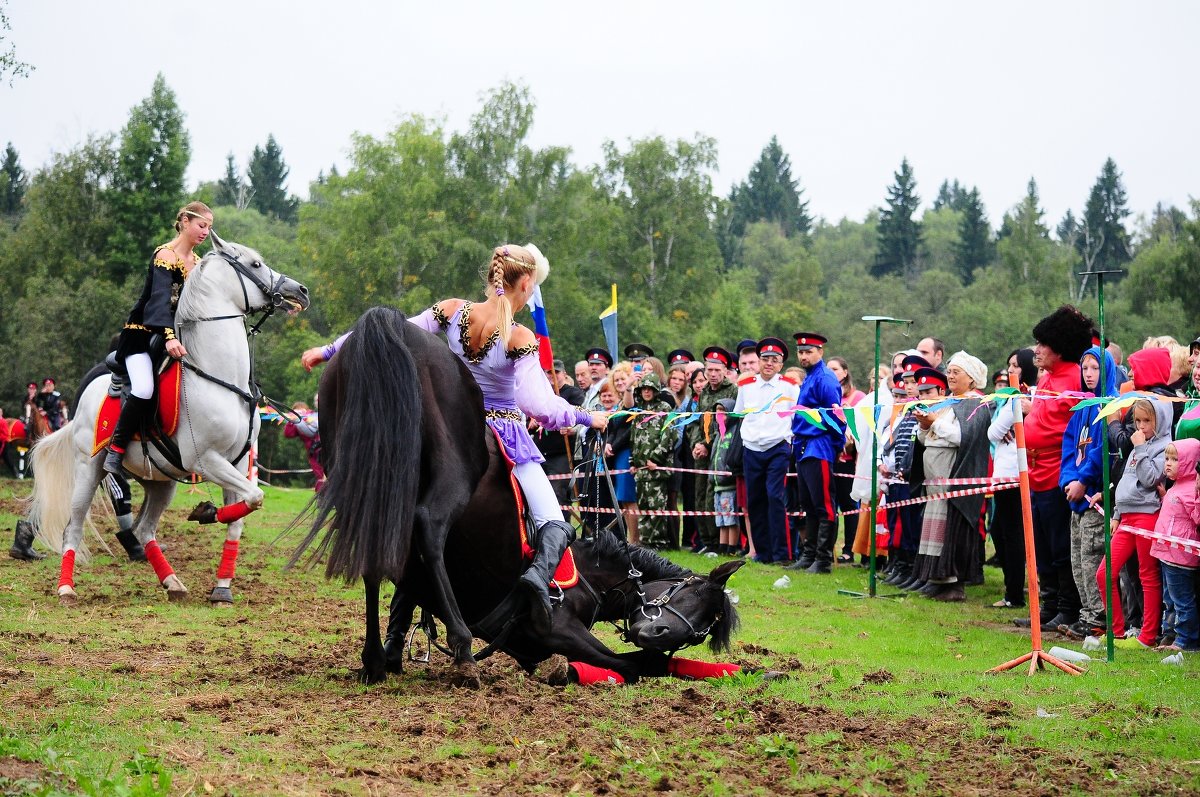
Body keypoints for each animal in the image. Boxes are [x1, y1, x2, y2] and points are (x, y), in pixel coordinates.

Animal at [33, 234, 314, 607]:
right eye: (255, 264)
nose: (301, 291)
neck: (219, 380)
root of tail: (84, 399)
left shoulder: (237, 464)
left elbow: (242, 515)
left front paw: (222, 587)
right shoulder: (206, 460)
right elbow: (255, 498)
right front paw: (205, 512)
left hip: (160, 480)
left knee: (144, 529)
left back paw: (172, 582)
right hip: (88, 470)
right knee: (74, 526)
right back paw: (66, 588)